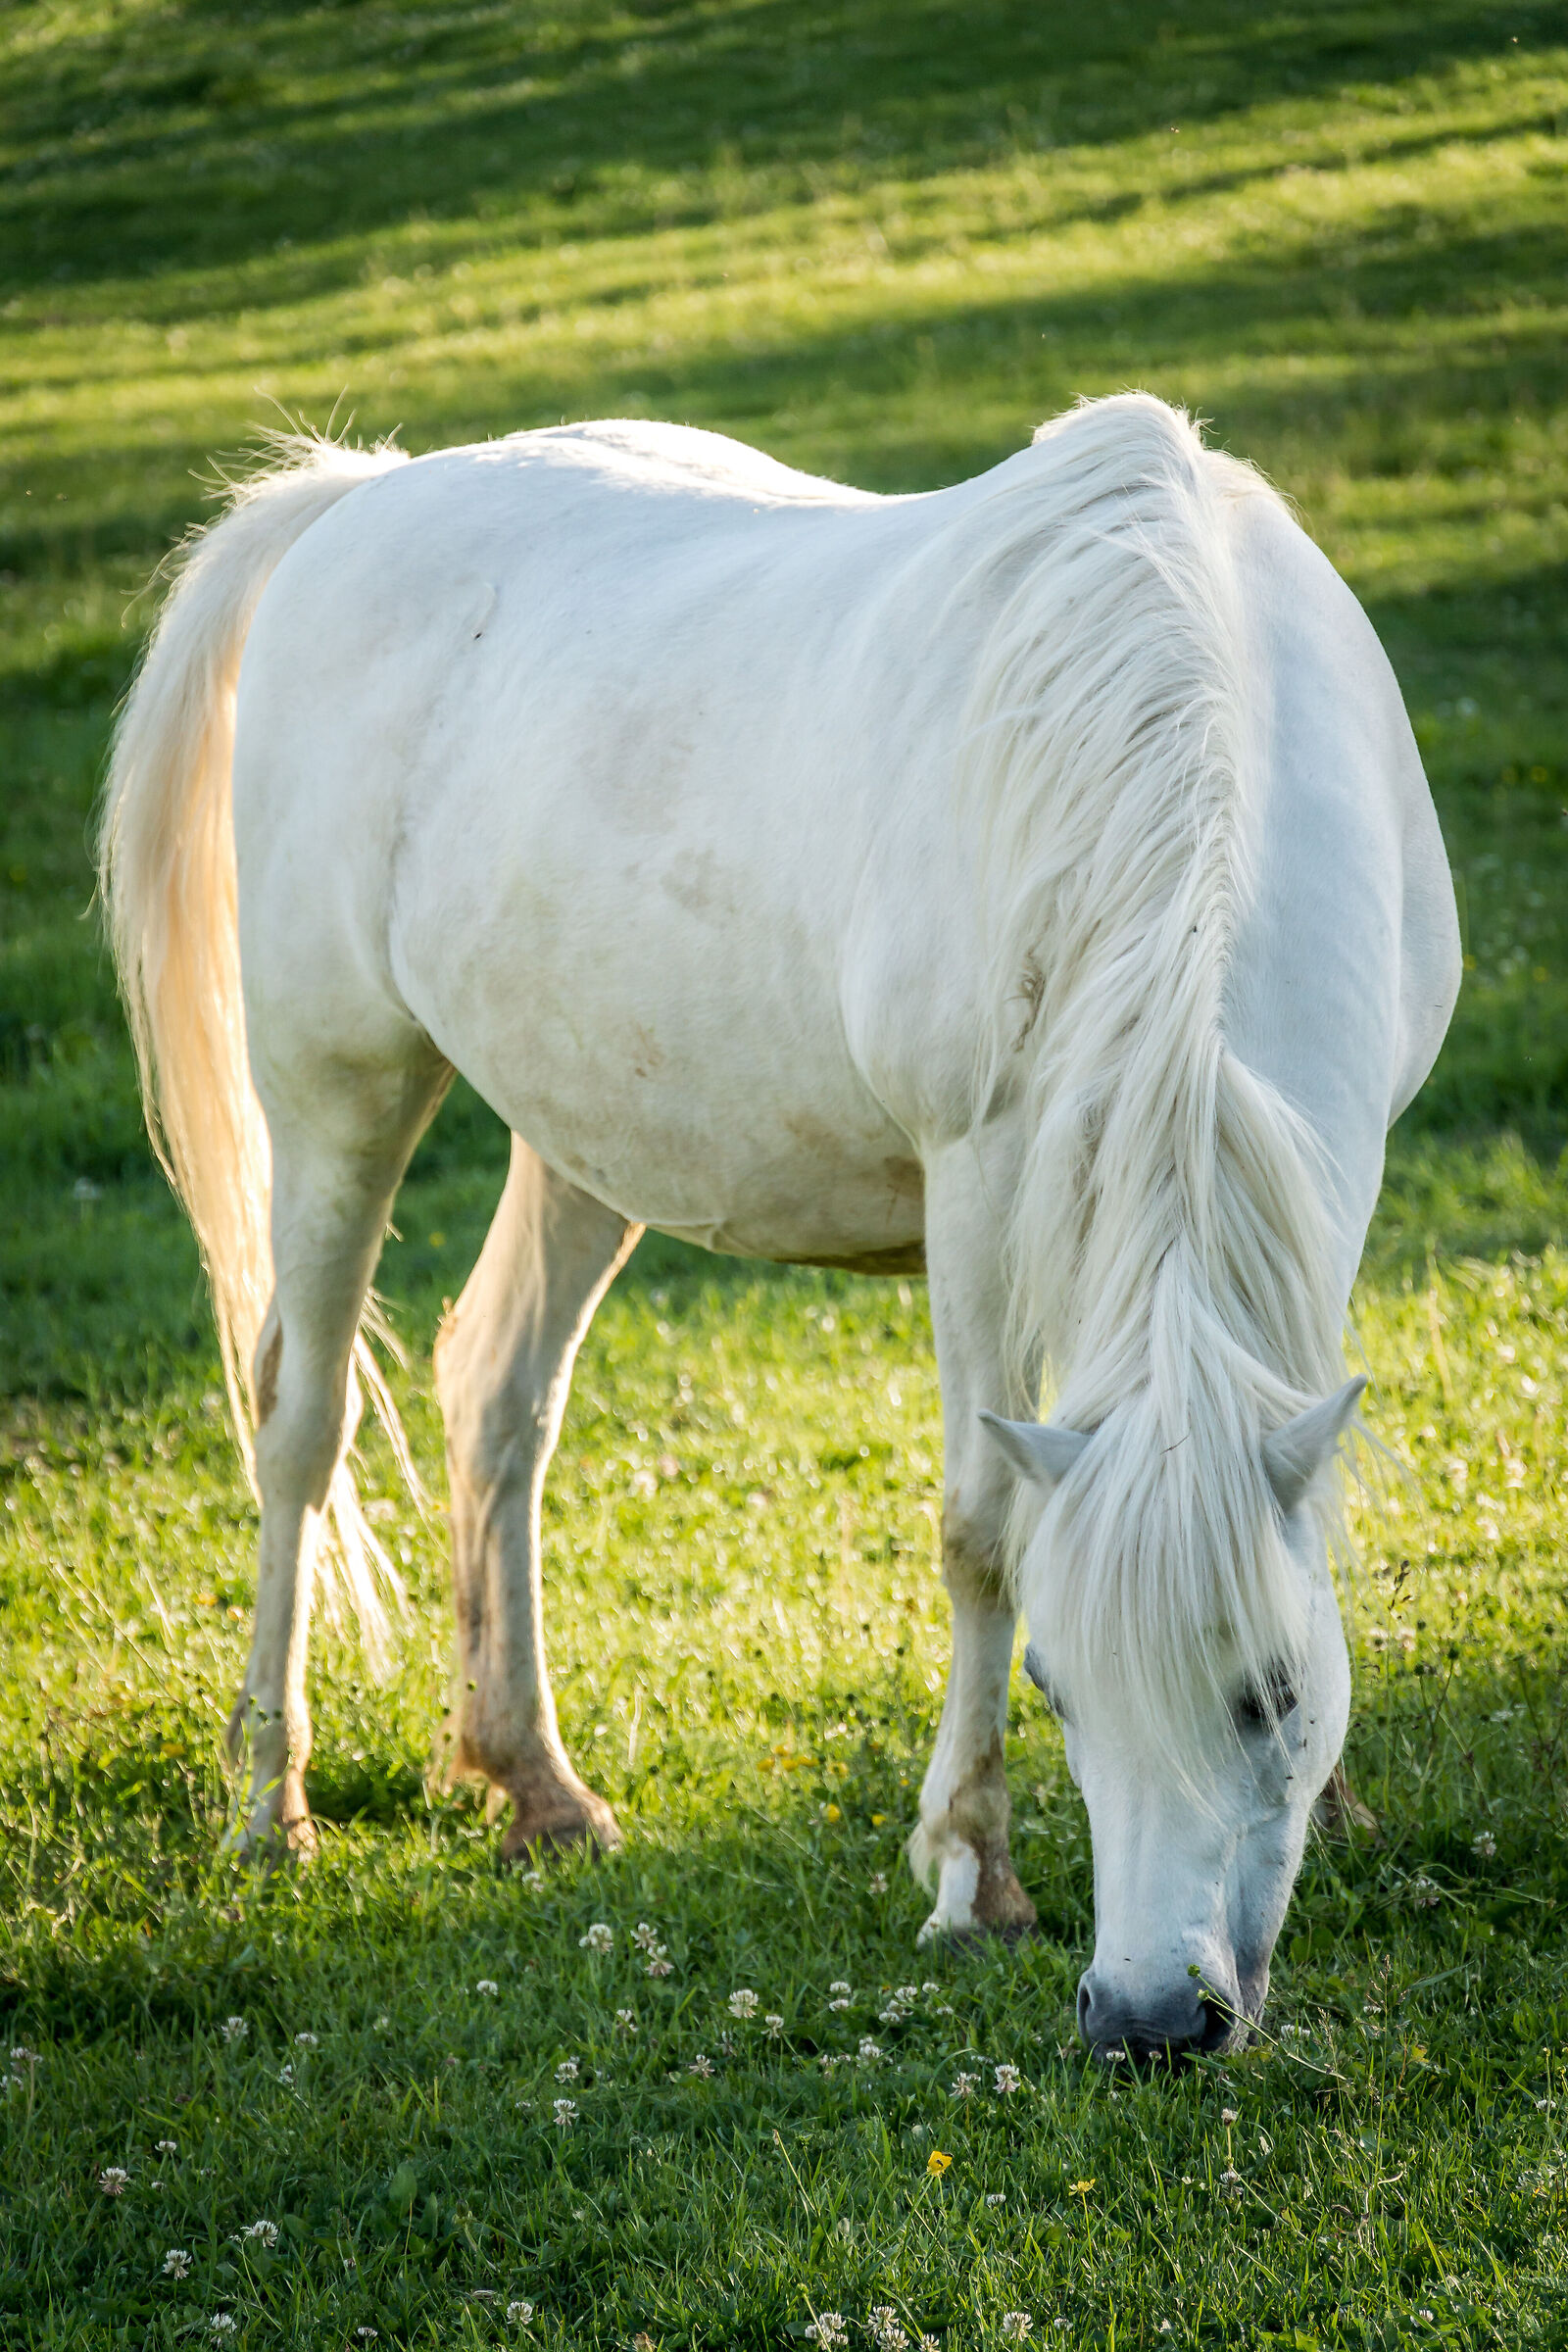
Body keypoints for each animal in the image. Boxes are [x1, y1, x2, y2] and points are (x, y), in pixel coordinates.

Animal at [100, 392, 1459, 2061]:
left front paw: (1331, 1808)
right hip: (336, 1085)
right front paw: (971, 1869)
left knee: (497, 1391)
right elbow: (982, 1533)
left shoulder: (1340, 1174)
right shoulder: (980, 1187)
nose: (1148, 2018)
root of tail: (357, 497)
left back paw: (534, 1785)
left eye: (1272, 1692)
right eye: (1062, 1693)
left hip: (586, 1132)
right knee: (299, 1424)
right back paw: (268, 1804)